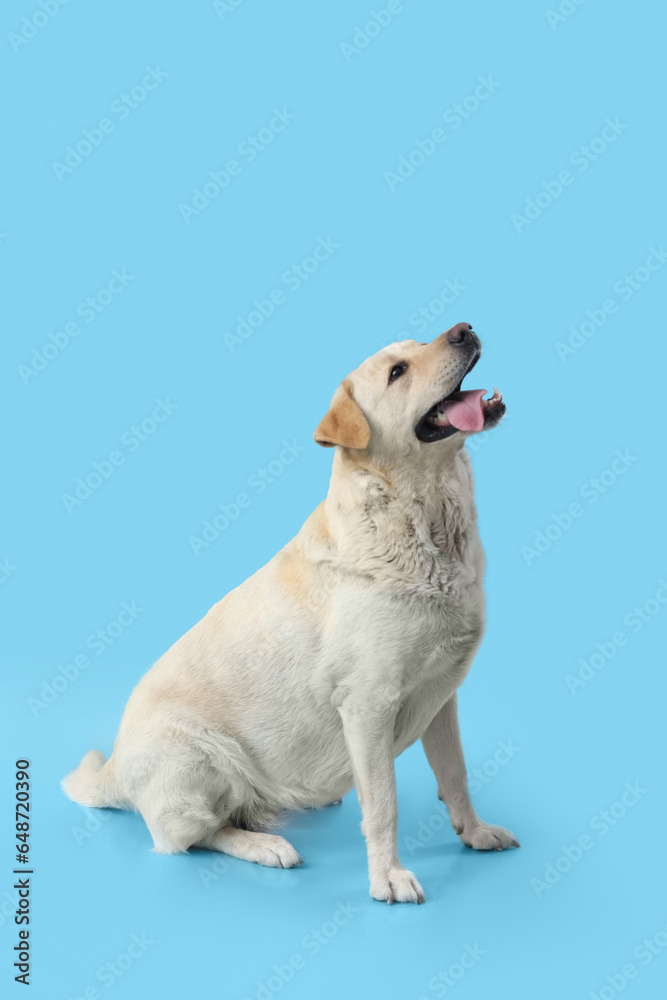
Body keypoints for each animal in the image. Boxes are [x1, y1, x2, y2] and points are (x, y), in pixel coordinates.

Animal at [64, 324, 520, 904]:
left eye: (420, 344)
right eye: (397, 372)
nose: (464, 330)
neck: (424, 518)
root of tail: (117, 765)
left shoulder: (441, 697)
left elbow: (456, 775)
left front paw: (475, 833)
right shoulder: (368, 705)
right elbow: (384, 804)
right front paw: (388, 877)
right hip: (202, 760)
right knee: (190, 836)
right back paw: (266, 846)